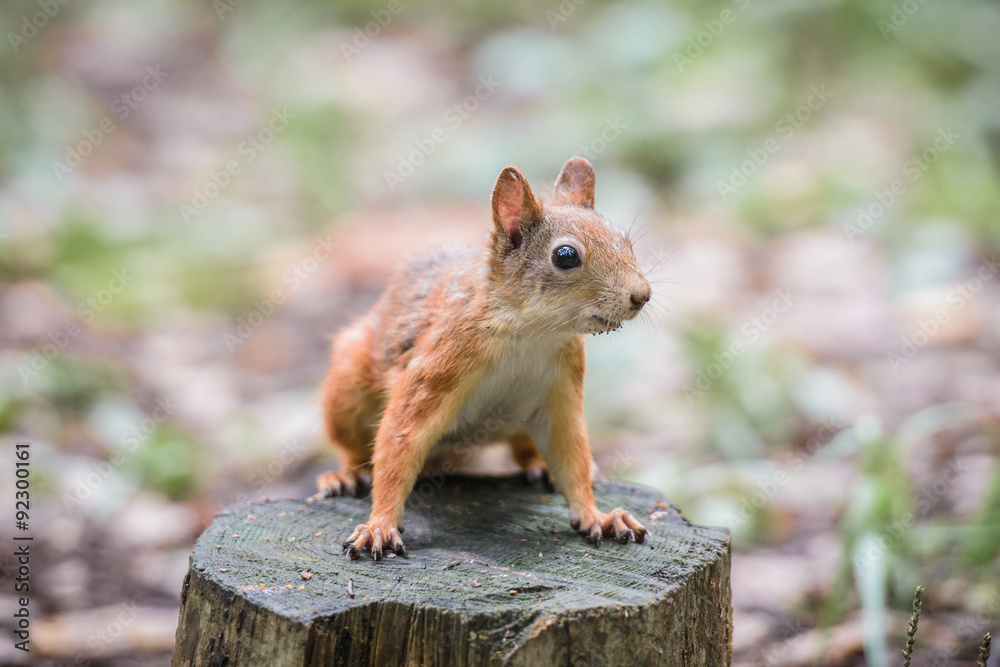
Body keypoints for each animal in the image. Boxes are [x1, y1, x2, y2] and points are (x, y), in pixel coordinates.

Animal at [316, 157, 652, 560]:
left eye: (625, 241)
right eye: (566, 256)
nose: (642, 295)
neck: (530, 334)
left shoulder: (562, 391)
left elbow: (571, 453)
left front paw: (596, 516)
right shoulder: (441, 362)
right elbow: (401, 439)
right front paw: (379, 525)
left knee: (526, 449)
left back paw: (541, 466)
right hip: (348, 387)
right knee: (352, 447)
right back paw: (345, 474)